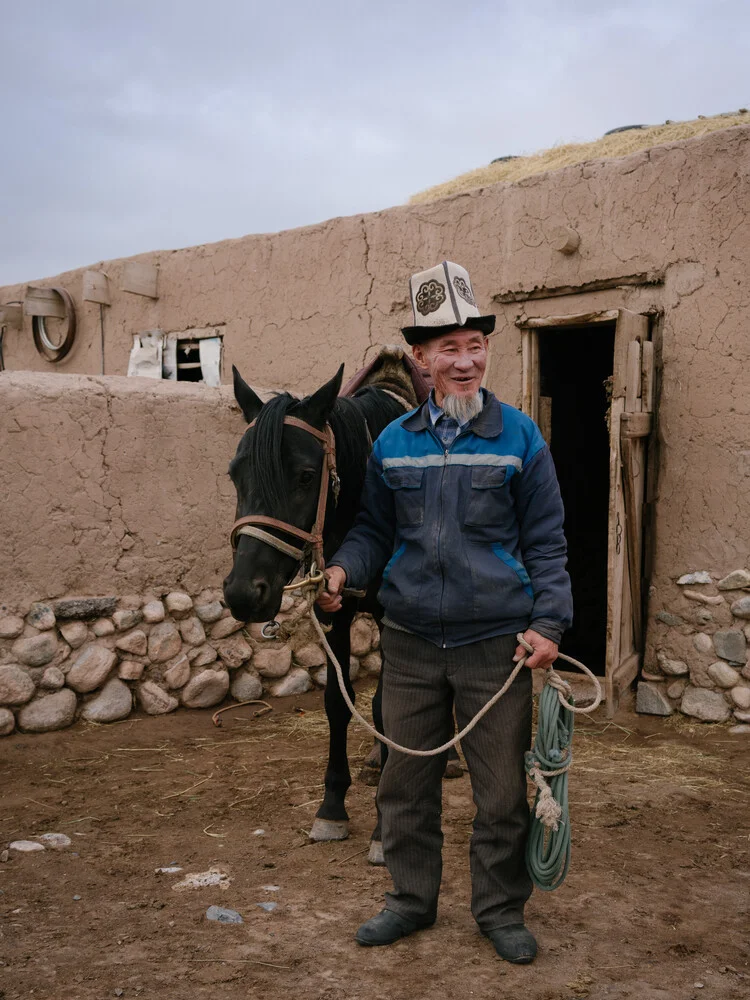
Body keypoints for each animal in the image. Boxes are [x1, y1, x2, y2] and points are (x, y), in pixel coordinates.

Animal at [223, 364, 458, 864]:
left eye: (306, 475)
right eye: (234, 474)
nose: (244, 593)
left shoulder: (397, 620)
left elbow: (390, 707)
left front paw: (384, 828)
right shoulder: (336, 611)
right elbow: (339, 701)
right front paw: (332, 807)